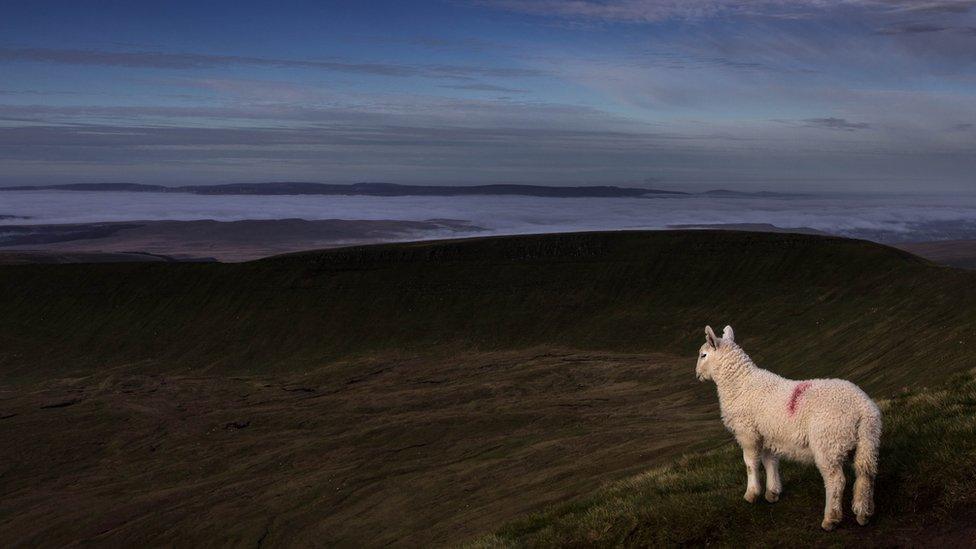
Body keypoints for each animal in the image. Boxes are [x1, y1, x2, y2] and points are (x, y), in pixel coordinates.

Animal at [692, 326, 884, 532]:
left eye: (703, 355)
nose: (697, 374)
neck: (740, 384)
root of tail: (863, 408)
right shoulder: (767, 433)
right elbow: (770, 461)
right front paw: (772, 492)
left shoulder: (748, 432)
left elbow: (750, 463)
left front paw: (751, 494)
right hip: (867, 441)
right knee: (866, 473)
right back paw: (863, 514)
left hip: (828, 442)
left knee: (836, 481)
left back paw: (830, 519)